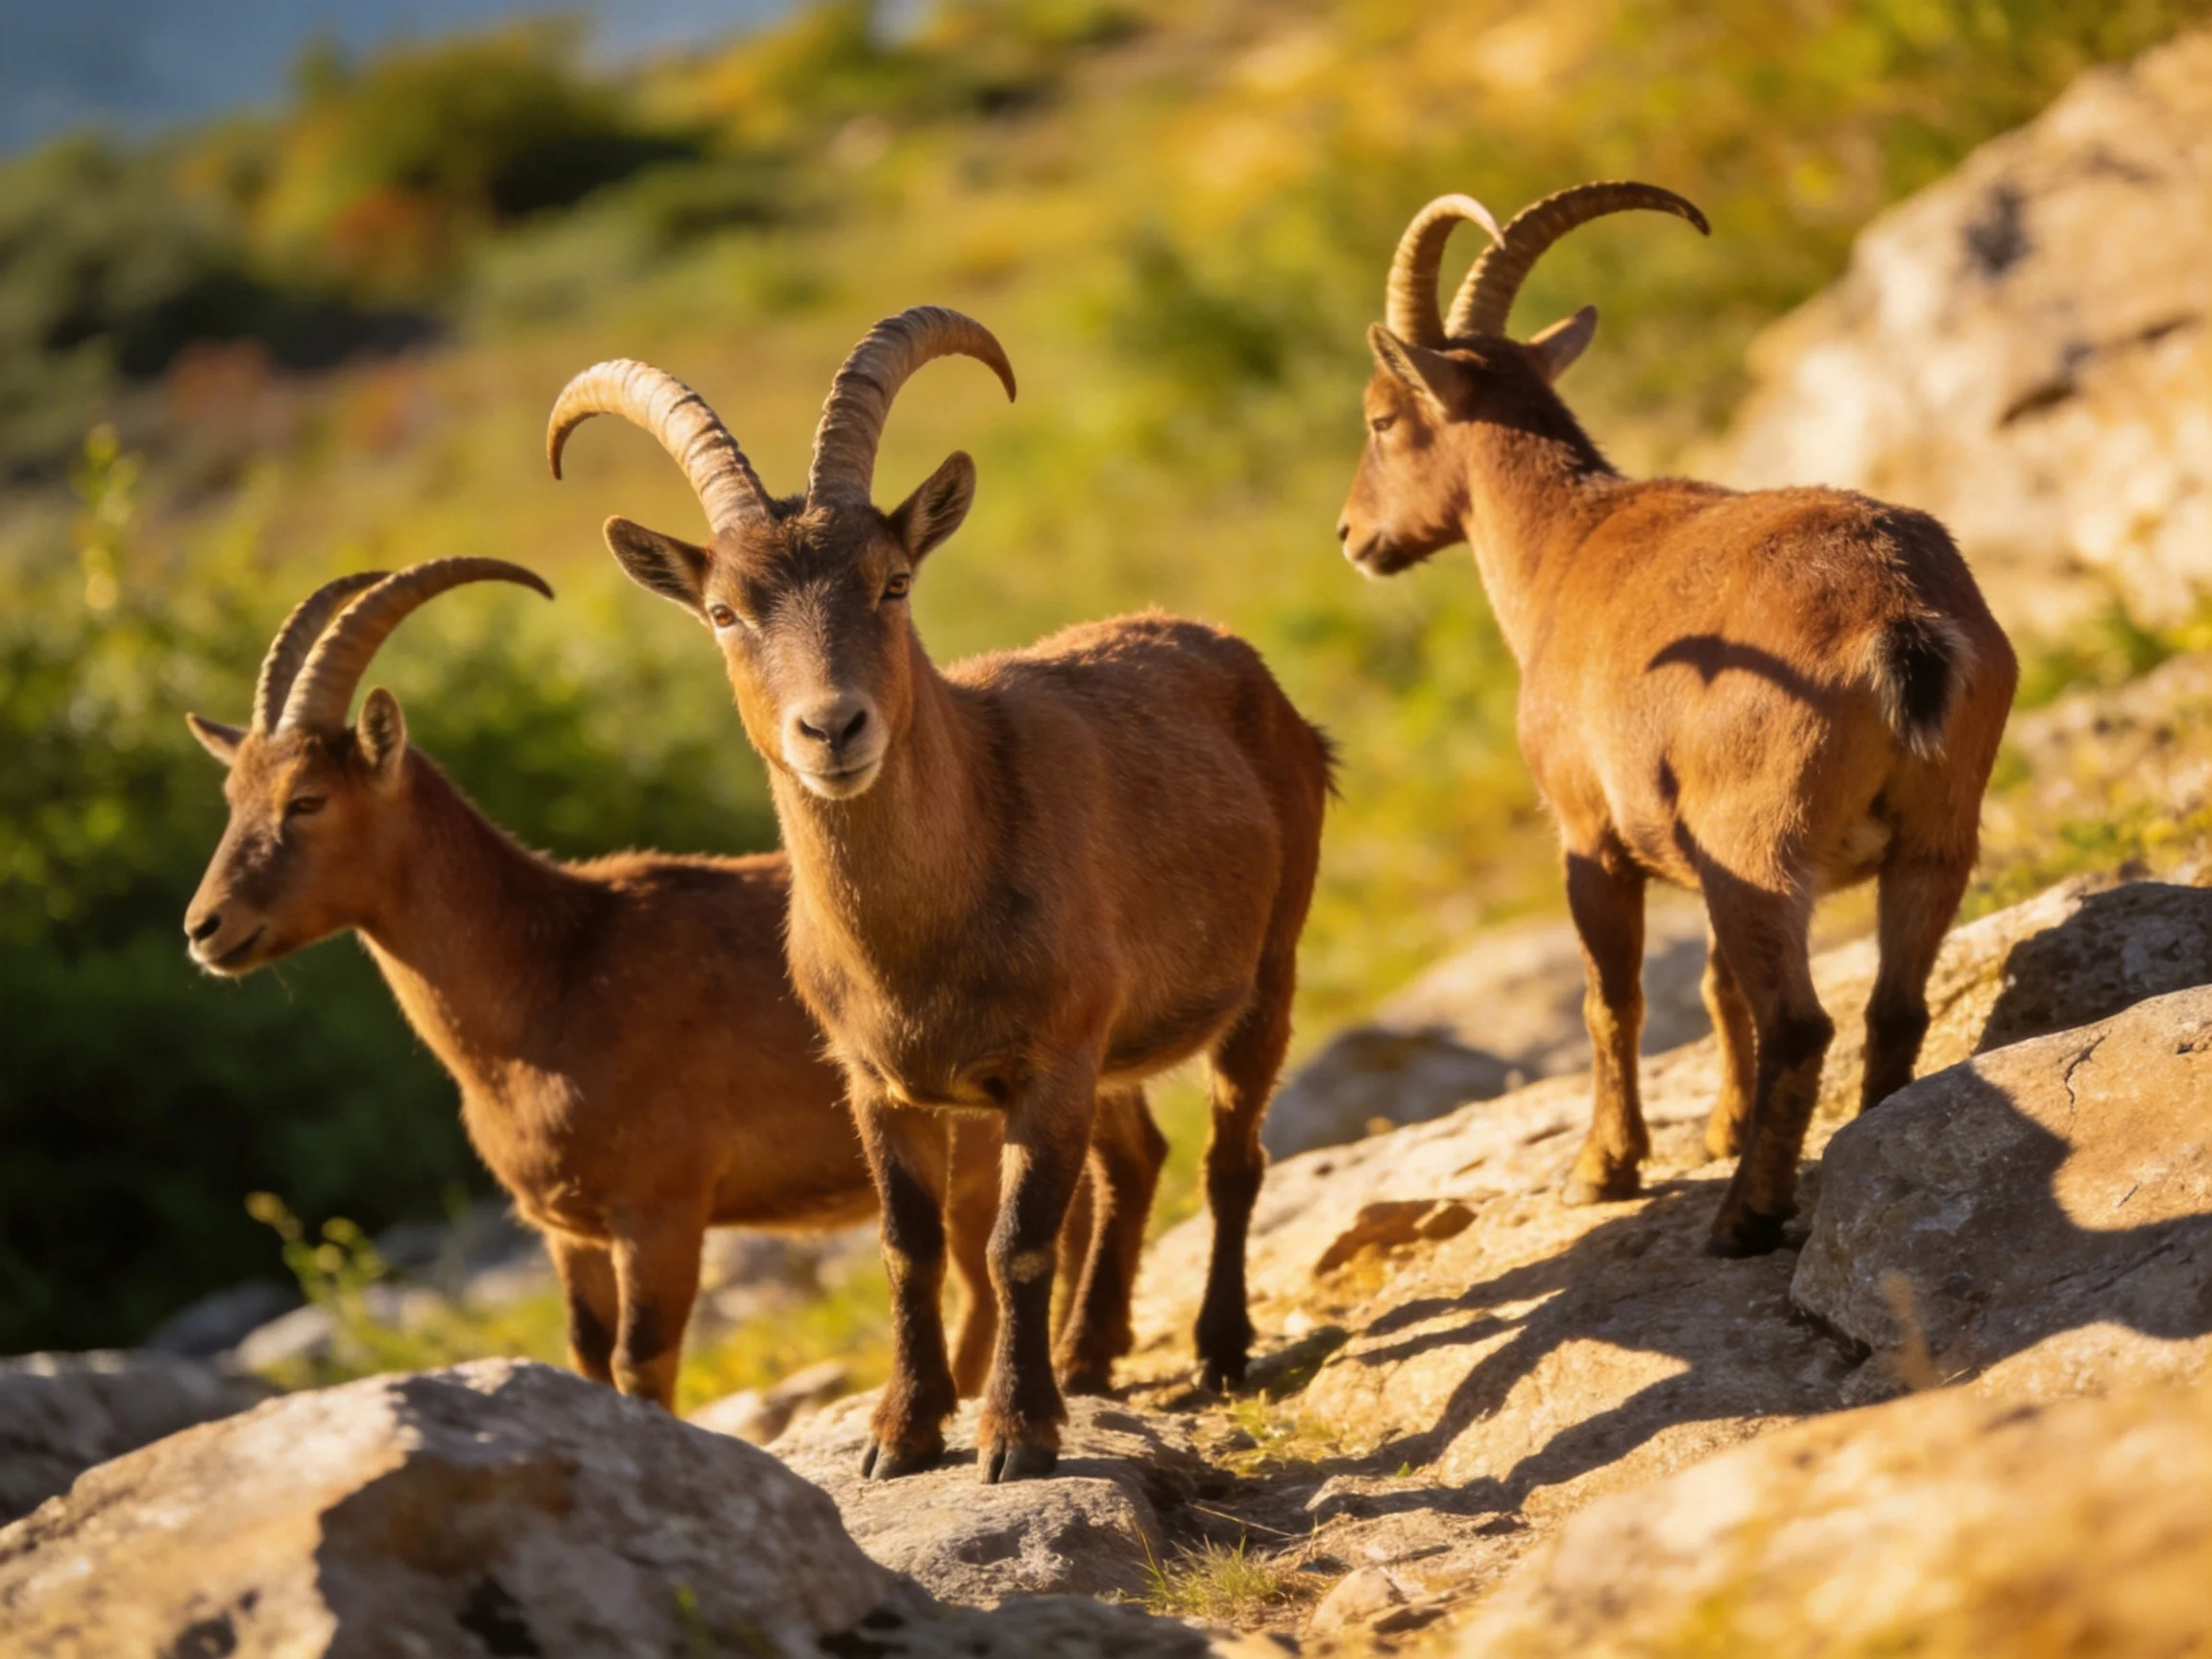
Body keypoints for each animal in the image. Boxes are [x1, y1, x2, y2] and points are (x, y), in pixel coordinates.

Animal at [182, 557, 1165, 1407]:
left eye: (308, 800)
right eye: (231, 799)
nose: (206, 928)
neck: (551, 976)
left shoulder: (659, 1211)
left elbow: (640, 1361)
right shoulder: (567, 1231)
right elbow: (585, 1356)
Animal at [547, 307, 1334, 1480]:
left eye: (893, 582)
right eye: (725, 612)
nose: (832, 728)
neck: (918, 937)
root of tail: (1254, 674)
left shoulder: (1049, 1063)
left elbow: (1016, 1243)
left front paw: (1016, 1432)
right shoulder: (879, 1083)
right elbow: (908, 1247)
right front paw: (902, 1431)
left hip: (1264, 972)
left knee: (1230, 1156)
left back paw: (1219, 1347)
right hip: (1115, 1048)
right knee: (1136, 1160)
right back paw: (1092, 1351)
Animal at [1339, 185, 2016, 1256]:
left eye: (1381, 417)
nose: (1353, 535)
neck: (1564, 548)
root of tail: (1902, 619)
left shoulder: (1591, 835)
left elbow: (1611, 999)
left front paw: (1602, 1170)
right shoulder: (1701, 854)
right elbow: (1714, 983)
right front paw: (1721, 1127)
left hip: (1762, 837)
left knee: (1803, 1025)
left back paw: (1746, 1218)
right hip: (1930, 835)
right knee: (1893, 1005)